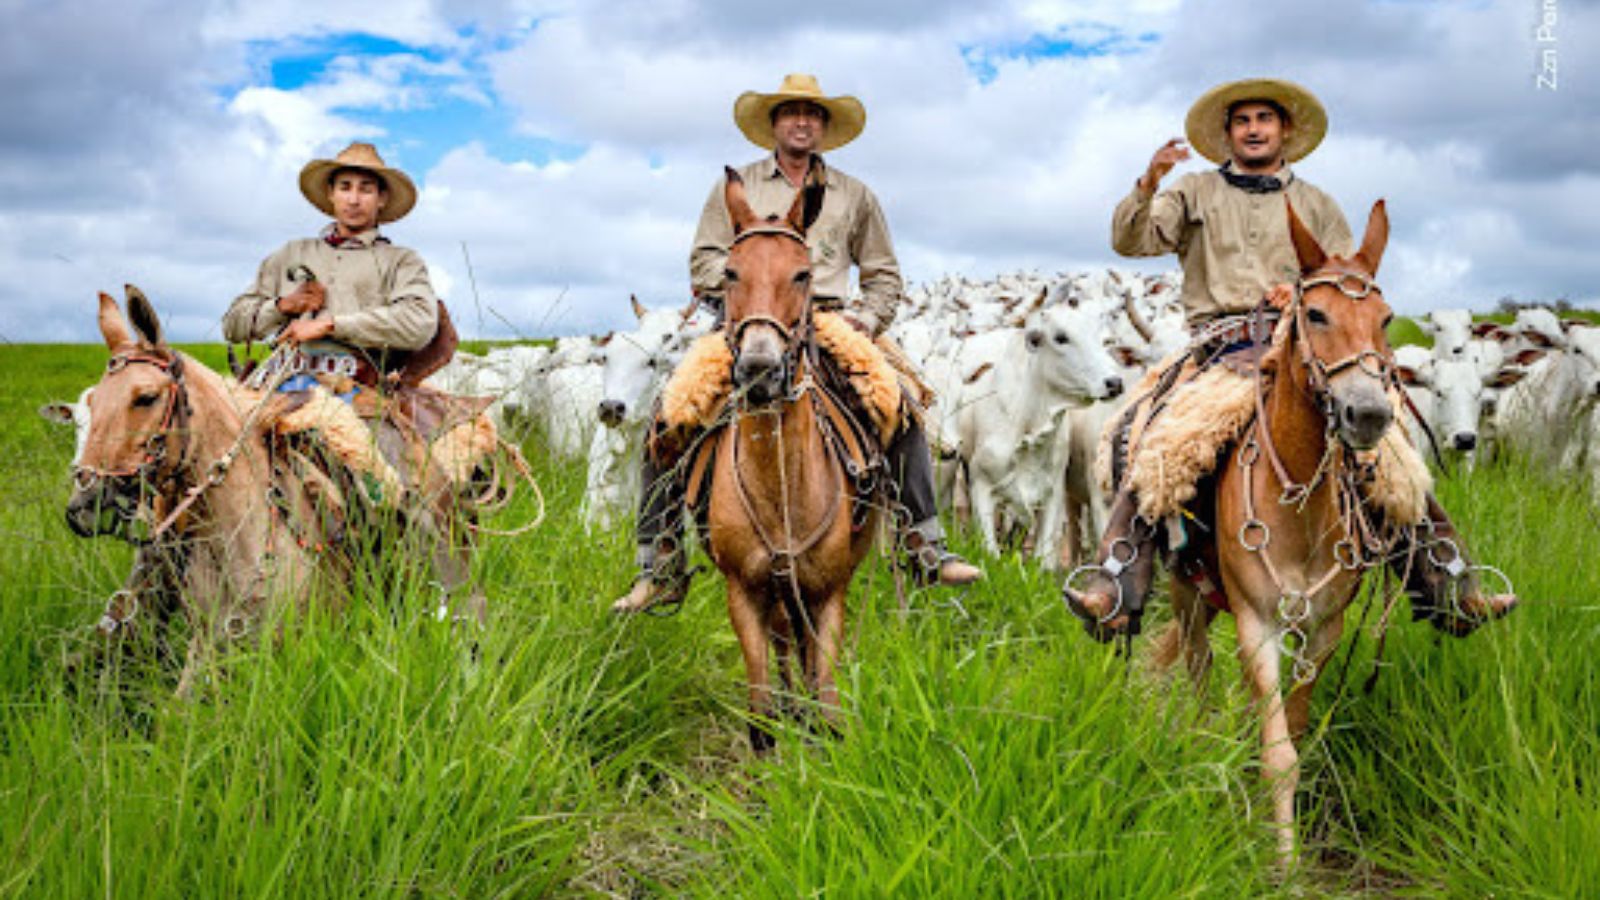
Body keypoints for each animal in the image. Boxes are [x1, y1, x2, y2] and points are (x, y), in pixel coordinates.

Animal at [710, 169, 883, 749]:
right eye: (730, 273)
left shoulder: (829, 591)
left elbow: (828, 706)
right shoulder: (742, 591)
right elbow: (760, 716)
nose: (760, 371)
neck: (780, 488)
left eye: (803, 274)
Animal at [1158, 199, 1408, 858]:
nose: (1368, 413)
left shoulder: (1323, 630)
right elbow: (1280, 757)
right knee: (1196, 670)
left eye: (1386, 319)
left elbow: (1291, 728)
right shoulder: (1256, 622)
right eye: (1316, 314)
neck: (1298, 502)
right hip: (1187, 597)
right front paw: (1284, 862)